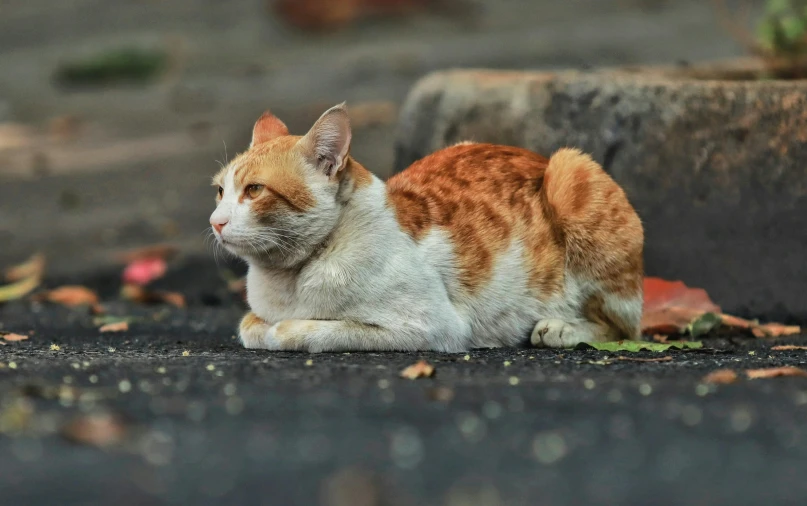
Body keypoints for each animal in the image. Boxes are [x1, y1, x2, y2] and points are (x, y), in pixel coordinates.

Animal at [208, 104, 644, 352]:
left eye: (254, 190)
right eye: (220, 191)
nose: (215, 221)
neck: (291, 279)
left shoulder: (433, 327)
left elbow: (305, 331)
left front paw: (290, 329)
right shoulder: (257, 315)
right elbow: (250, 326)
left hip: (571, 170)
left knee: (623, 327)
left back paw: (560, 328)